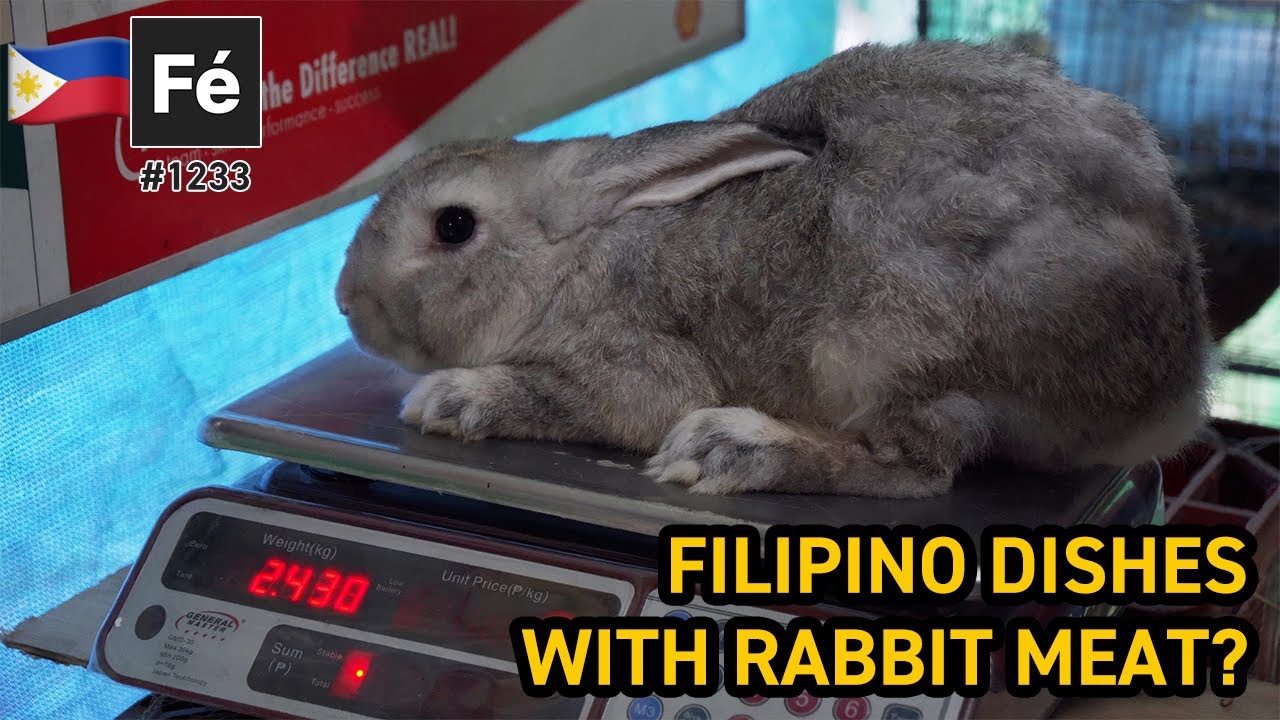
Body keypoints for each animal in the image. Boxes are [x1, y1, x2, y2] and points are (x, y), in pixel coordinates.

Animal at [335, 41, 1213, 498]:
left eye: (453, 225)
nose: (345, 302)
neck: (573, 260)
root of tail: (1173, 390)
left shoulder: (634, 359)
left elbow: (608, 399)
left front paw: (450, 399)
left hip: (885, 348)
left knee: (916, 468)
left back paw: (729, 448)